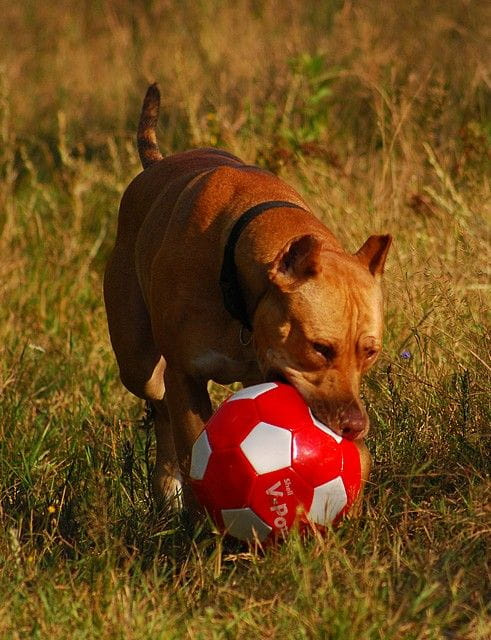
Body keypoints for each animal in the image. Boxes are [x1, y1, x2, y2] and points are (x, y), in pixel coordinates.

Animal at [104, 85, 392, 504]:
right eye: (320, 348)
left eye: (369, 353)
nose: (355, 424)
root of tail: (154, 166)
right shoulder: (184, 377)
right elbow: (193, 446)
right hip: (137, 361)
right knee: (158, 402)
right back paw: (168, 484)